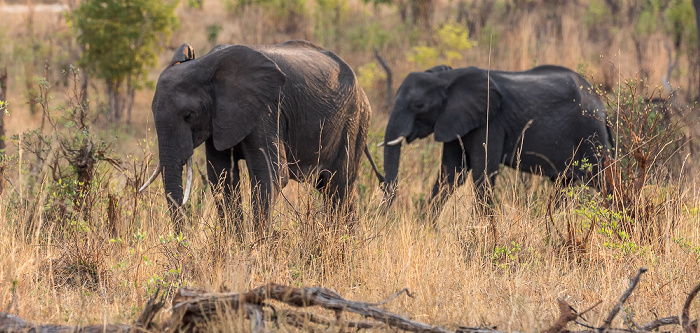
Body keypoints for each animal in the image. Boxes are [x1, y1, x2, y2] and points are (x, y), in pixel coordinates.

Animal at [139, 40, 380, 232]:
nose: (185, 240)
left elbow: (270, 175)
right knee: (338, 190)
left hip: (354, 122)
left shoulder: (268, 110)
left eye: (189, 115)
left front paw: (257, 250)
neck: (205, 65)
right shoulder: (220, 117)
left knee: (338, 187)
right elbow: (222, 178)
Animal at [378, 65, 612, 218]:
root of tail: (601, 103)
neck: (447, 77)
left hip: (590, 132)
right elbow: (450, 175)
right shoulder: (454, 121)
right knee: (564, 184)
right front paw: (427, 228)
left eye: (418, 106)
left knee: (604, 179)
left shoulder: (491, 122)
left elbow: (483, 174)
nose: (383, 216)